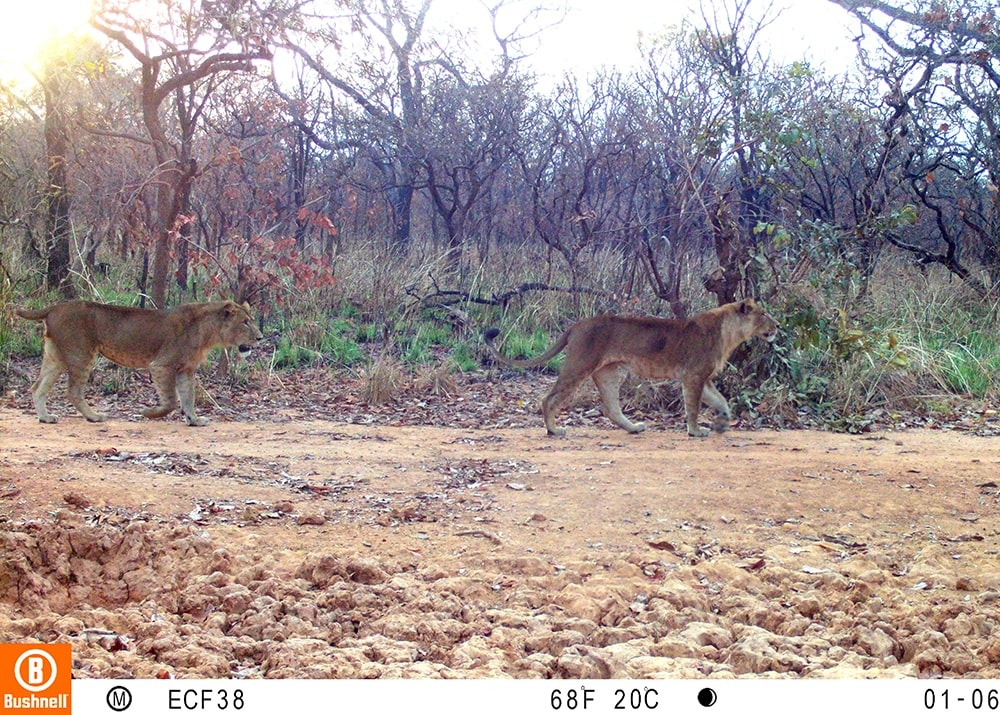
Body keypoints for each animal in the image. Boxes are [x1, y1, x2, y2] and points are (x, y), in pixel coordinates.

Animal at [18, 300, 266, 428]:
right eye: (245, 322)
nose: (260, 337)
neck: (209, 333)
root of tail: (54, 306)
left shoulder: (186, 369)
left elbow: (188, 397)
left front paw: (194, 420)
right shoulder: (161, 365)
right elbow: (171, 402)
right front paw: (148, 413)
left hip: (55, 357)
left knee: (37, 387)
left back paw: (45, 417)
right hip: (82, 355)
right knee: (73, 391)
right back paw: (94, 416)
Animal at [484, 300, 780, 440]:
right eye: (764, 313)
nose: (777, 325)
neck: (730, 333)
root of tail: (577, 325)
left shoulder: (704, 379)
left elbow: (721, 401)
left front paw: (721, 423)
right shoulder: (693, 376)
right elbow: (693, 407)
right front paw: (695, 431)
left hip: (610, 373)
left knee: (611, 408)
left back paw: (633, 428)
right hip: (580, 365)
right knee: (550, 398)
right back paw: (554, 431)